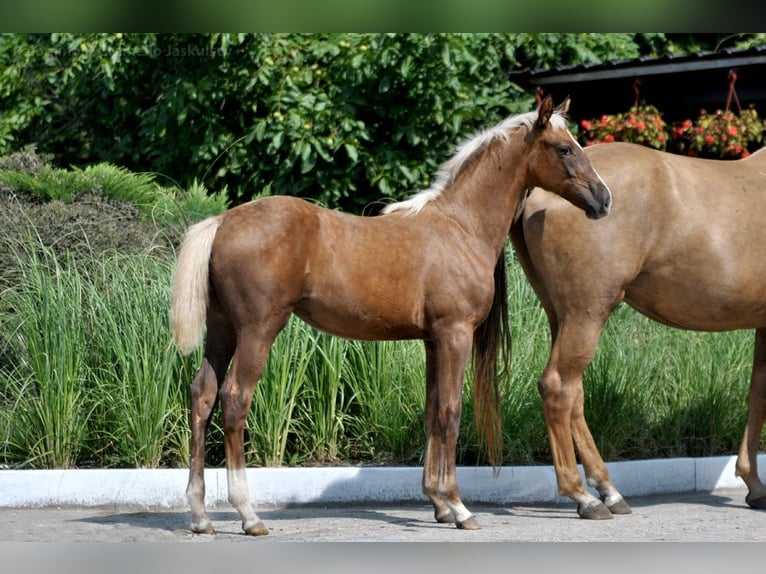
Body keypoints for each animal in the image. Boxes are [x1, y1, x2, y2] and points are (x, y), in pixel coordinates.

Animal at [169, 95, 612, 536]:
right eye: (565, 148)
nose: (603, 199)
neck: (460, 227)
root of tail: (223, 221)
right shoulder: (455, 334)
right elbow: (451, 412)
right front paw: (459, 507)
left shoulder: (433, 340)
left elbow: (432, 411)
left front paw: (439, 504)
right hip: (257, 330)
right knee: (234, 398)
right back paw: (249, 515)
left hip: (222, 332)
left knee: (202, 396)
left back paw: (201, 517)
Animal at [510, 141, 766, 520]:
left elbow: (757, 395)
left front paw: (755, 485)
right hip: (587, 313)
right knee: (558, 387)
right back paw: (584, 497)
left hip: (562, 315)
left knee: (574, 393)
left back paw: (608, 490)